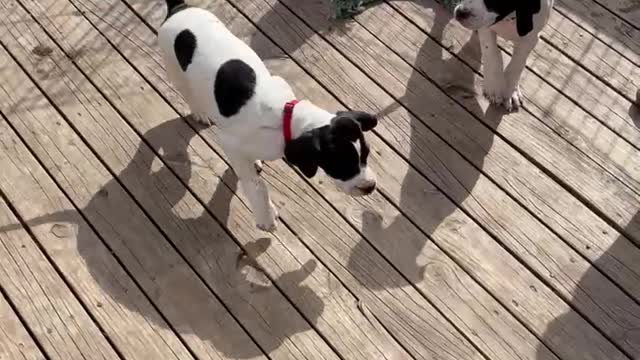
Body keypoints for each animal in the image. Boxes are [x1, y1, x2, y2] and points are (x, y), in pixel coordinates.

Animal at [157, 0, 378, 232]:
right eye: (343, 163)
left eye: (366, 154)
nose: (370, 187)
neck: (285, 118)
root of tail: (179, 8)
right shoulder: (229, 143)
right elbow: (256, 185)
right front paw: (266, 216)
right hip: (175, 70)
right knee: (187, 92)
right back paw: (199, 112)